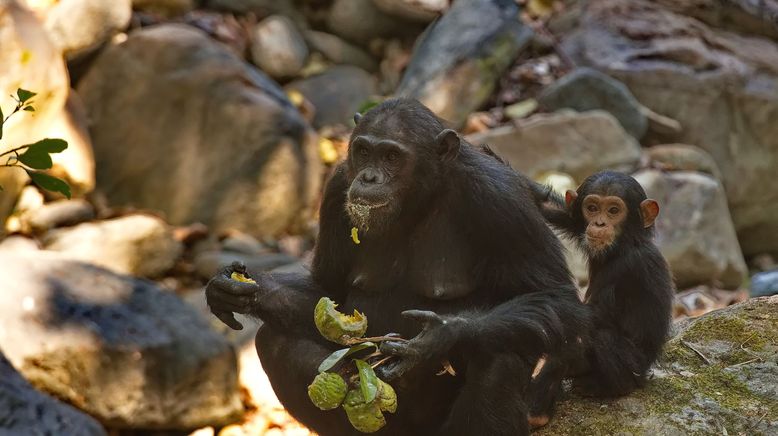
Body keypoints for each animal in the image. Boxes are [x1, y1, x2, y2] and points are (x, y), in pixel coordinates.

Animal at [203, 99, 584, 436]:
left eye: (391, 156)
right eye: (363, 151)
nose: (370, 177)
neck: (420, 199)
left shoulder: (501, 200)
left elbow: (556, 298)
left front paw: (439, 336)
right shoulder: (337, 188)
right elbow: (327, 291)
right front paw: (241, 289)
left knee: (500, 358)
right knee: (273, 341)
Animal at [532, 171, 668, 398]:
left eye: (613, 210)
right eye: (592, 208)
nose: (599, 224)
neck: (624, 245)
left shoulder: (631, 265)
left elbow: (587, 317)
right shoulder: (576, 222)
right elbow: (553, 208)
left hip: (635, 367)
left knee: (603, 337)